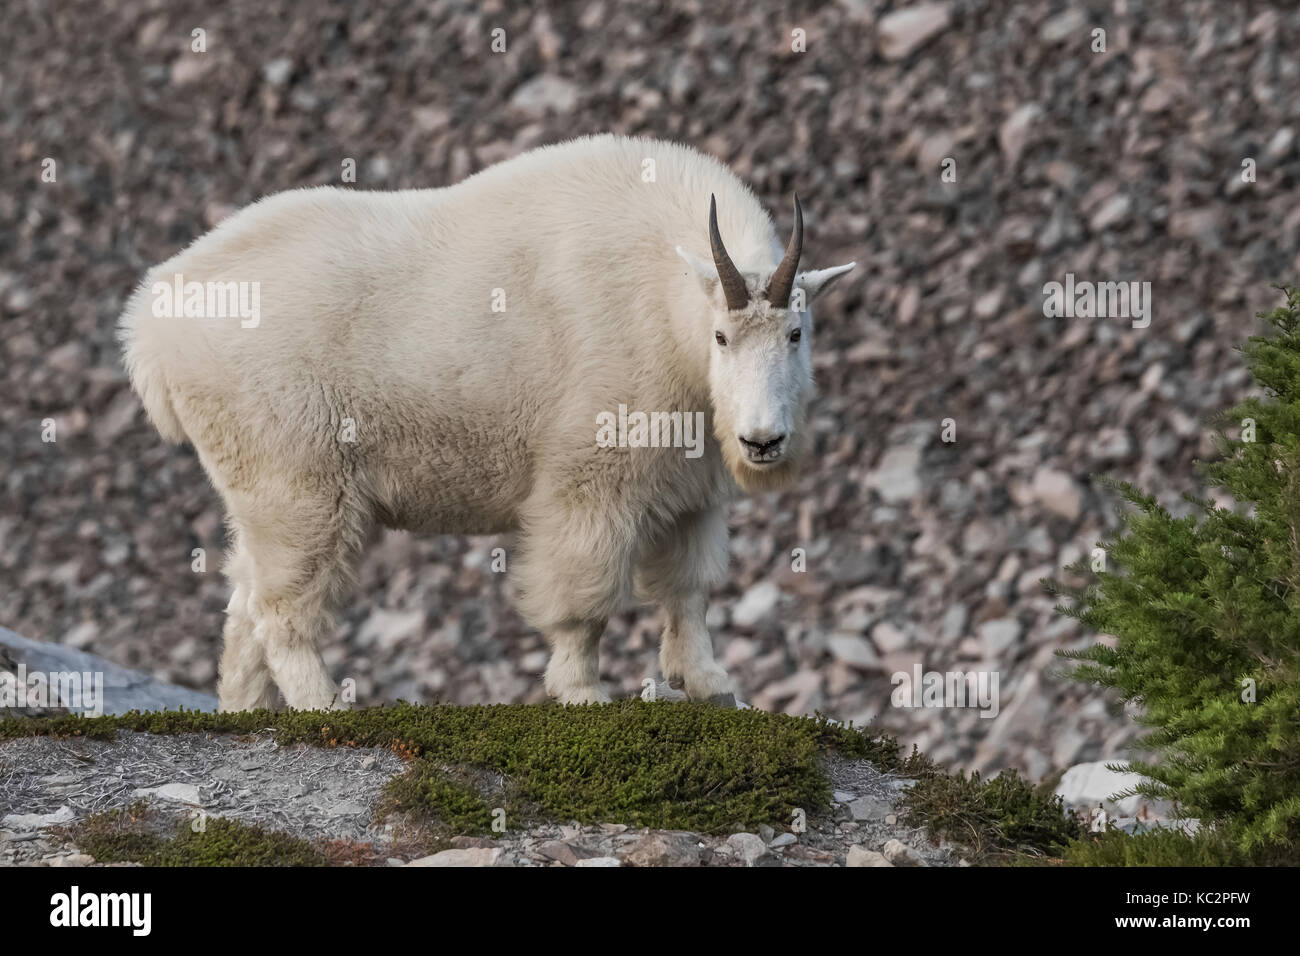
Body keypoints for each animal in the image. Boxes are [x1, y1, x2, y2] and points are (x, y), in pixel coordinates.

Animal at [116, 138, 857, 712]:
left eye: (796, 332)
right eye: (722, 337)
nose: (762, 442)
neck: (668, 304)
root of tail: (150, 325)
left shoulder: (691, 486)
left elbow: (690, 589)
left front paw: (710, 683)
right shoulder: (591, 476)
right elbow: (584, 596)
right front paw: (583, 692)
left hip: (254, 482)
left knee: (244, 598)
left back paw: (243, 711)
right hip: (295, 476)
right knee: (281, 608)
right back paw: (325, 708)